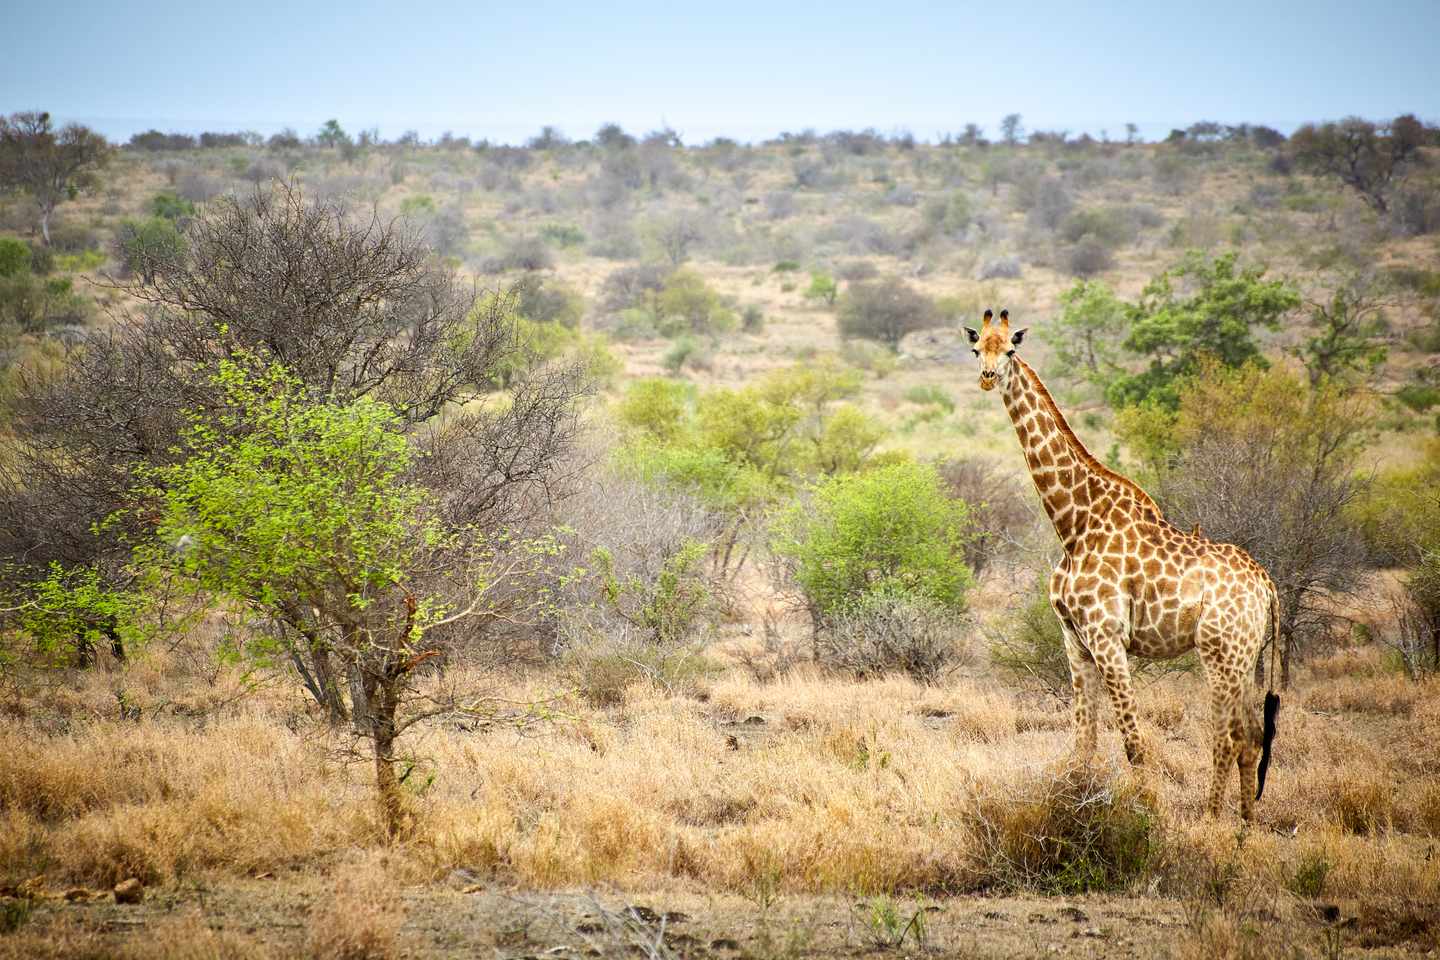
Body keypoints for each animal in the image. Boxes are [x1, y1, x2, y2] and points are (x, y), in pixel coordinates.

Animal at [963, 309, 1280, 820]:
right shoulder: (1074, 639)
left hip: (1221, 653)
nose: (988, 377)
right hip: (1248, 655)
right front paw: (1075, 802)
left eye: (1010, 350)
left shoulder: (1107, 636)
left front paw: (1147, 812)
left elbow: (1134, 742)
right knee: (1251, 738)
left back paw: (1212, 820)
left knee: (1228, 737)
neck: (1073, 523)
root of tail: (1267, 585)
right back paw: (1245, 826)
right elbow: (1084, 741)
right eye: (976, 349)